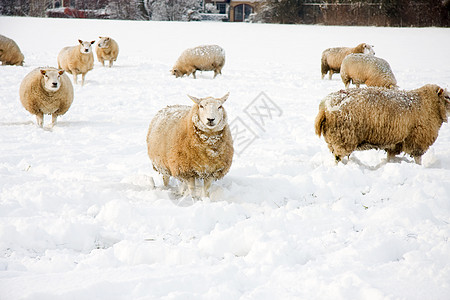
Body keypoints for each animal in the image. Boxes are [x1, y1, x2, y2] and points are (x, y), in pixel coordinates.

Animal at [314, 84, 450, 164]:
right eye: (447, 97)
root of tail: (324, 107)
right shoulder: (417, 140)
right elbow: (418, 159)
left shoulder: (396, 143)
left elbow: (391, 157)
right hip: (343, 138)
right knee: (338, 158)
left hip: (335, 139)